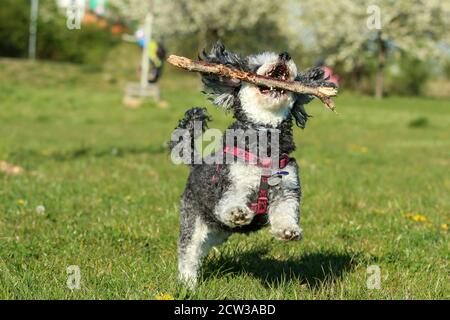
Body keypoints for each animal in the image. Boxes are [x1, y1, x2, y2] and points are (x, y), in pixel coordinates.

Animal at [170, 40, 338, 288]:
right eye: (256, 63)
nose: (285, 55)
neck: (265, 142)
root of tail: (196, 163)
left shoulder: (287, 187)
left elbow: (286, 210)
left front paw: (288, 230)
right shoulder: (232, 181)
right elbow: (230, 201)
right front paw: (237, 212)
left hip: (217, 232)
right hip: (194, 217)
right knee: (189, 250)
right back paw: (187, 283)